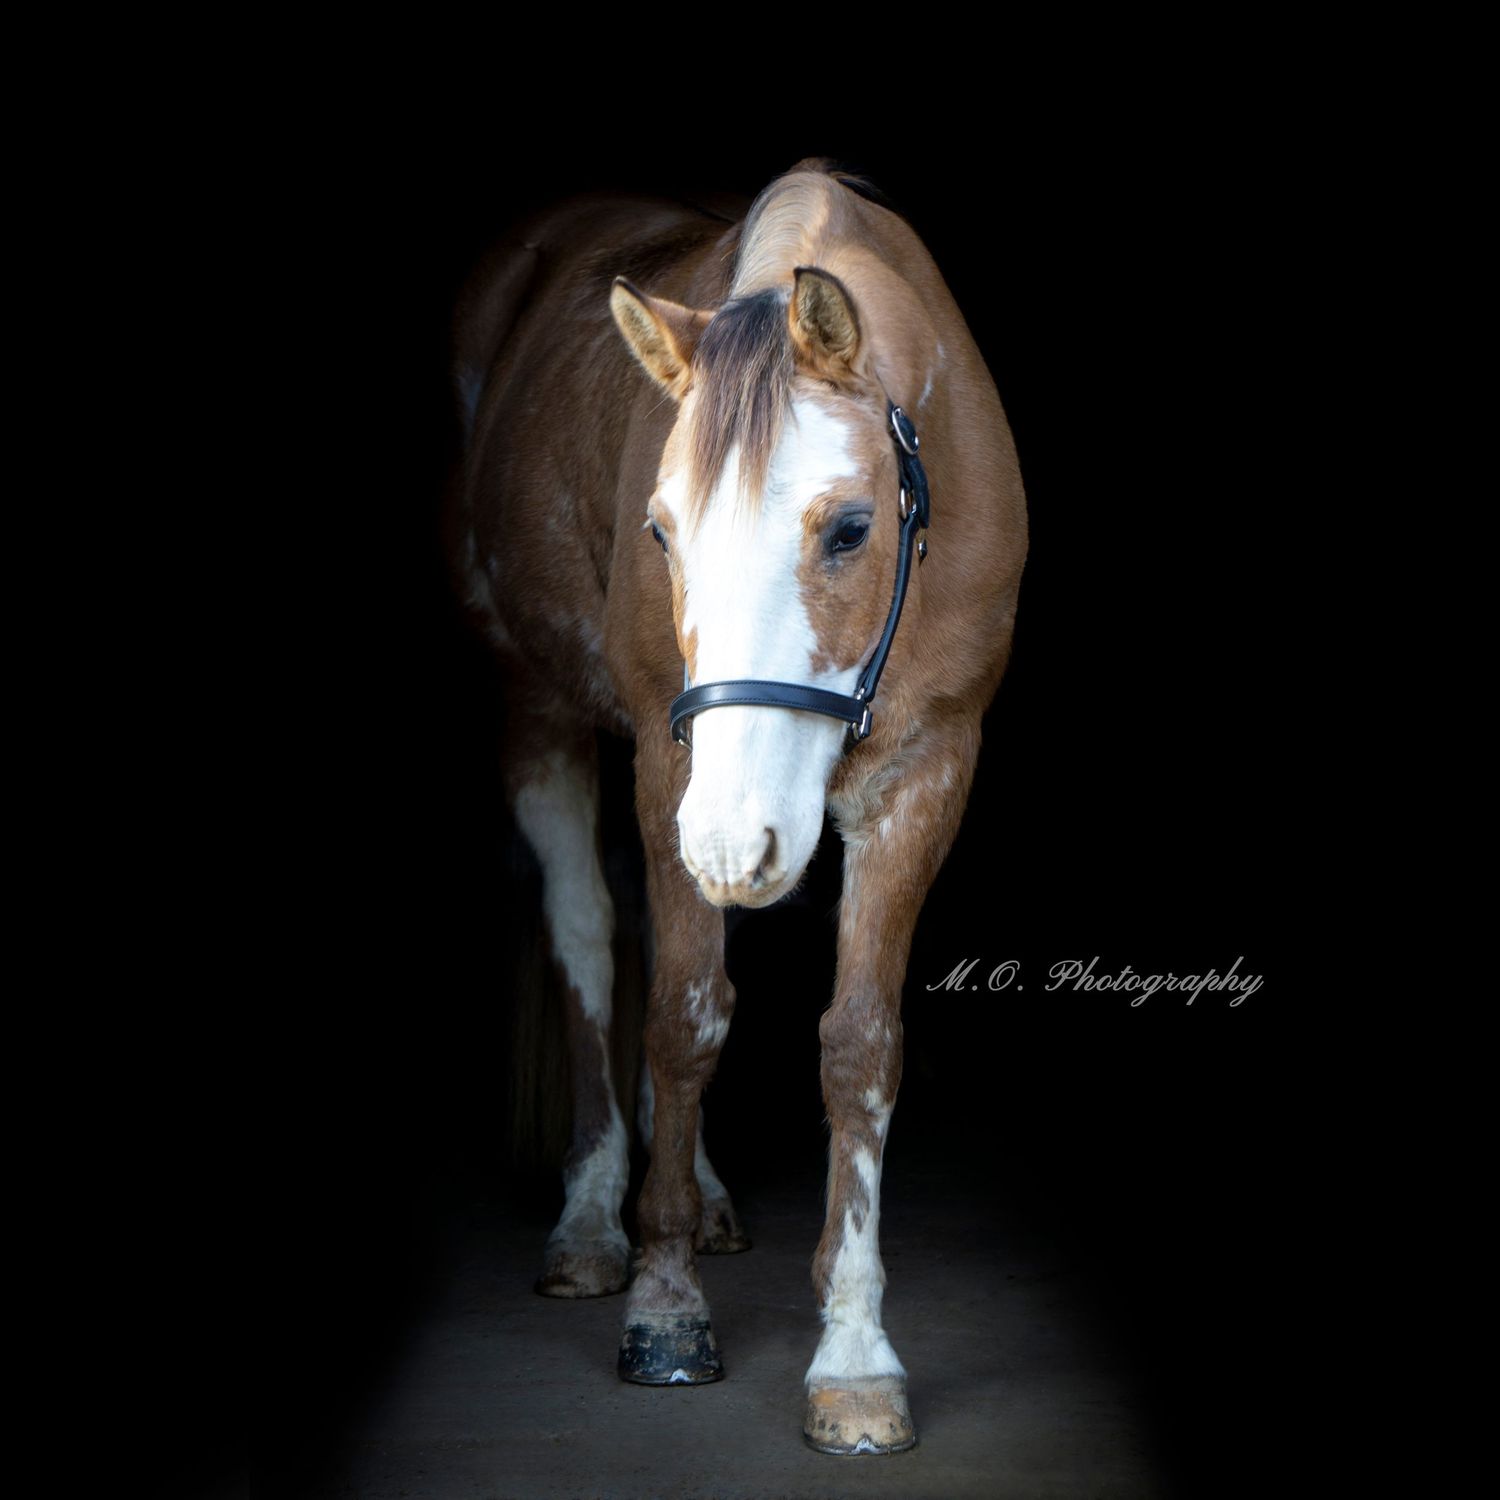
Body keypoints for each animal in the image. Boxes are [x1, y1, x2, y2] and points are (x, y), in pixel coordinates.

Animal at [448, 157, 1028, 1455]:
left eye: (851, 527)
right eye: (662, 533)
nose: (730, 845)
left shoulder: (928, 776)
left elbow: (860, 1047)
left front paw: (854, 1358)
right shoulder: (673, 775)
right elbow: (683, 1018)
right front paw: (664, 1307)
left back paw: (703, 1196)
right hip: (542, 714)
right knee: (591, 942)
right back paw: (596, 1218)